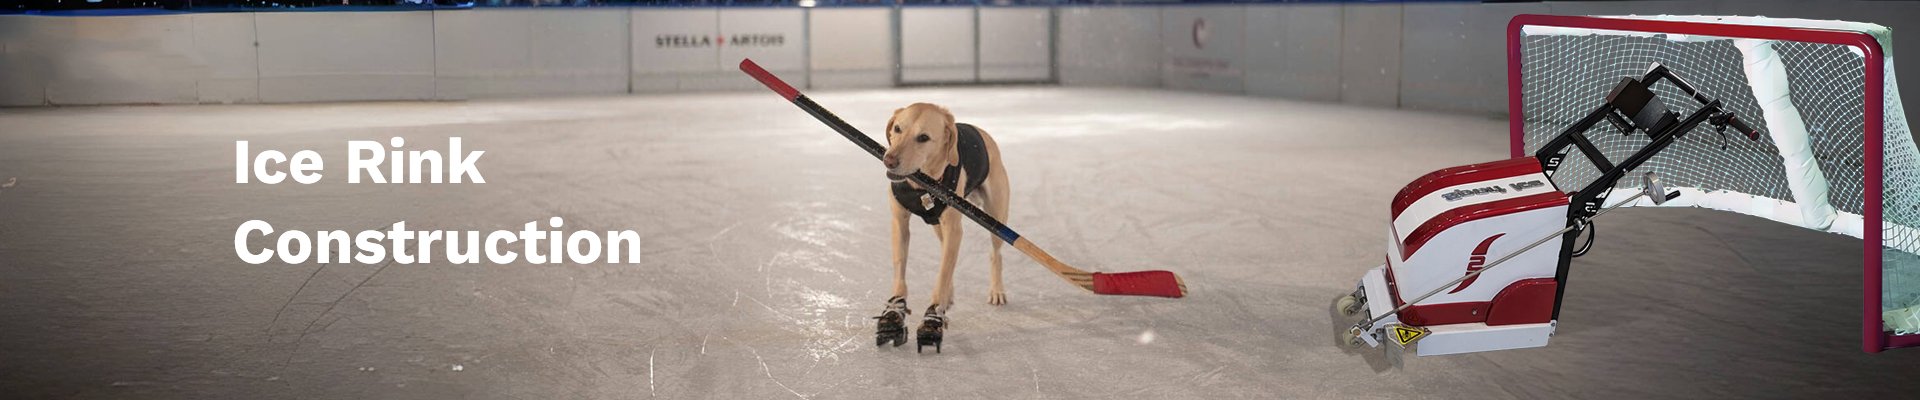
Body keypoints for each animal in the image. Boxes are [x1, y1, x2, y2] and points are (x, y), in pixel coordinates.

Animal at [875, 102, 1013, 350]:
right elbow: (901, 270)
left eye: (923, 137)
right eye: (897, 128)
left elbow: (942, 275)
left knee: (994, 254)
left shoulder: (954, 230)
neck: (922, 185)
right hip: (938, 226)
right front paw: (894, 313)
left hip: (996, 218)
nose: (888, 160)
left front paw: (932, 319)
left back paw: (996, 290)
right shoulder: (899, 223)